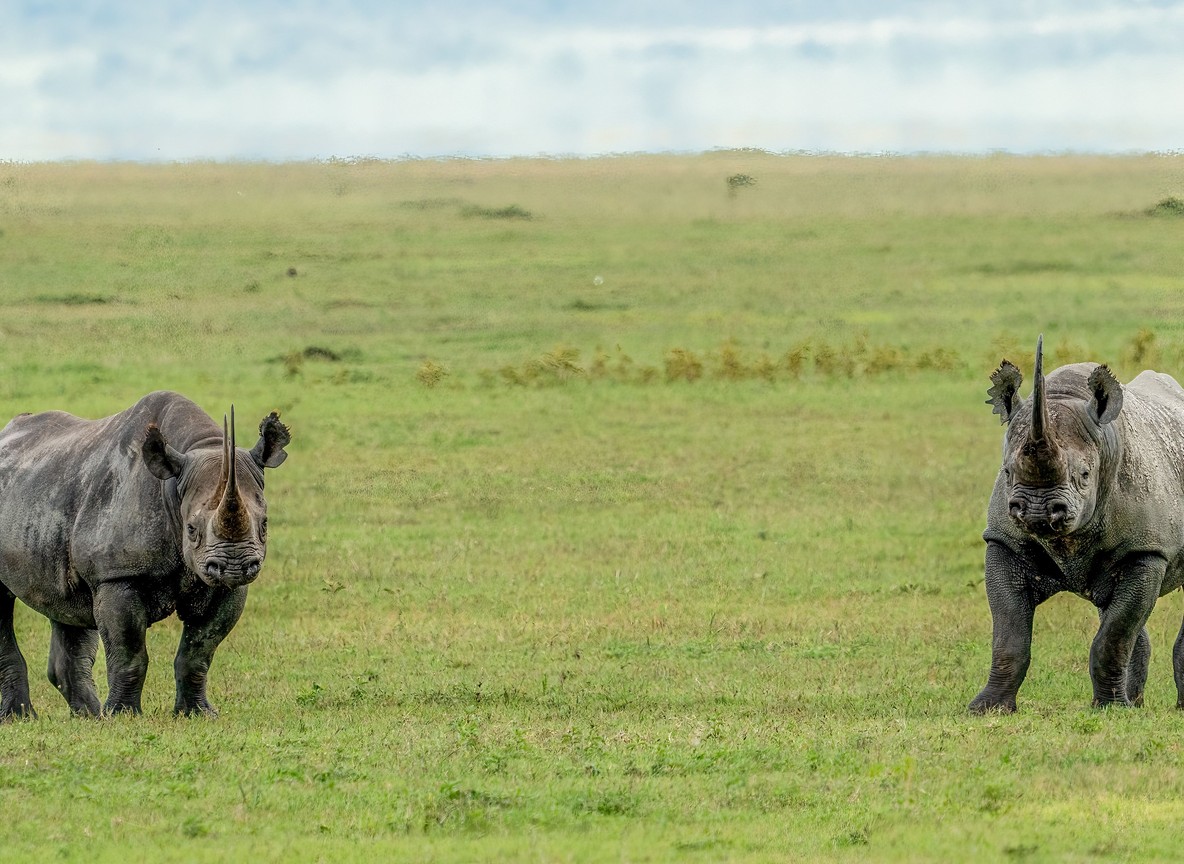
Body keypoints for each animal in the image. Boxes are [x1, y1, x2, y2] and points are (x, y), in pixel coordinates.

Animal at [0, 390, 290, 717]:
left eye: (264, 524)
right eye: (191, 529)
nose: (235, 567)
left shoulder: (226, 588)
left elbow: (199, 651)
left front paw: (197, 714)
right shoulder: (117, 575)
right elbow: (129, 653)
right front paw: (122, 716)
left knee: (68, 607)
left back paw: (89, 716)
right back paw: (21, 718)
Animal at [970, 335, 1184, 712]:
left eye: (1084, 476)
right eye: (1007, 473)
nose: (1037, 511)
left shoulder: (1147, 550)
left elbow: (1114, 636)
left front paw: (1111, 709)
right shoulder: (1004, 541)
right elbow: (1008, 635)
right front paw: (987, 708)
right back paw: (1136, 703)